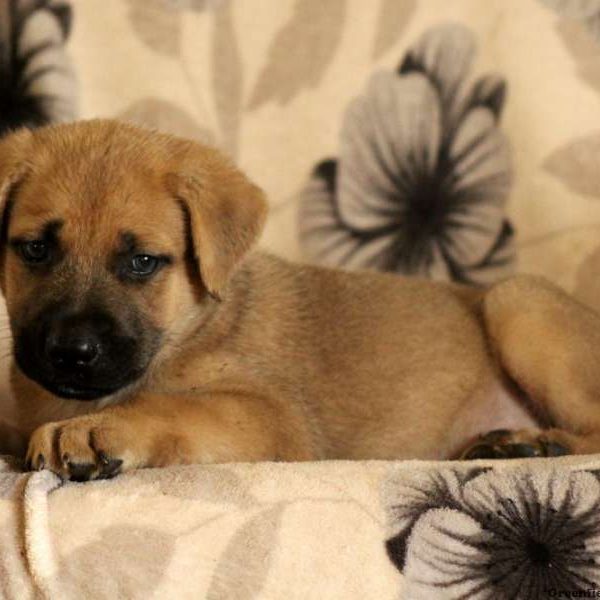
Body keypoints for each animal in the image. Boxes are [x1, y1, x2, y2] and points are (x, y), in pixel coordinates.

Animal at [1, 119, 600, 480]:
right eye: (35, 249)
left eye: (141, 262)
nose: (72, 353)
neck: (192, 328)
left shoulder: (274, 418)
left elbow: (172, 405)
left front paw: (97, 430)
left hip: (517, 299)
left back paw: (532, 445)